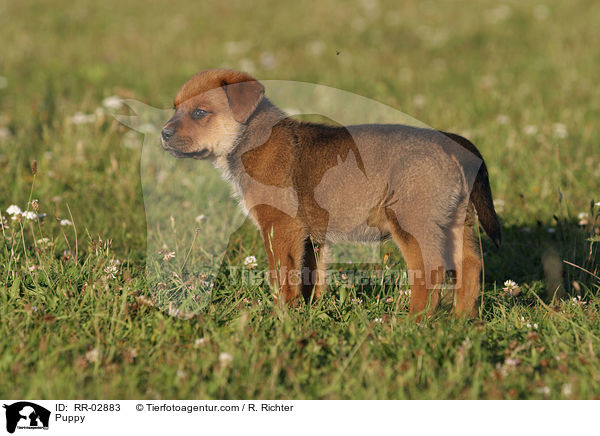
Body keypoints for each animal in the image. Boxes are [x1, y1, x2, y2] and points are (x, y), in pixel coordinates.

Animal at [161, 69, 502, 320]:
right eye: (175, 108)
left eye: (200, 112)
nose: (163, 134)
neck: (251, 138)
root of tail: (451, 143)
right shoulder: (312, 238)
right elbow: (311, 278)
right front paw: (309, 313)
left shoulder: (281, 227)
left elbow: (282, 277)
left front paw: (281, 318)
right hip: (457, 221)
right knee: (471, 265)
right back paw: (461, 320)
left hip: (412, 224)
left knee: (430, 272)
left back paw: (412, 321)